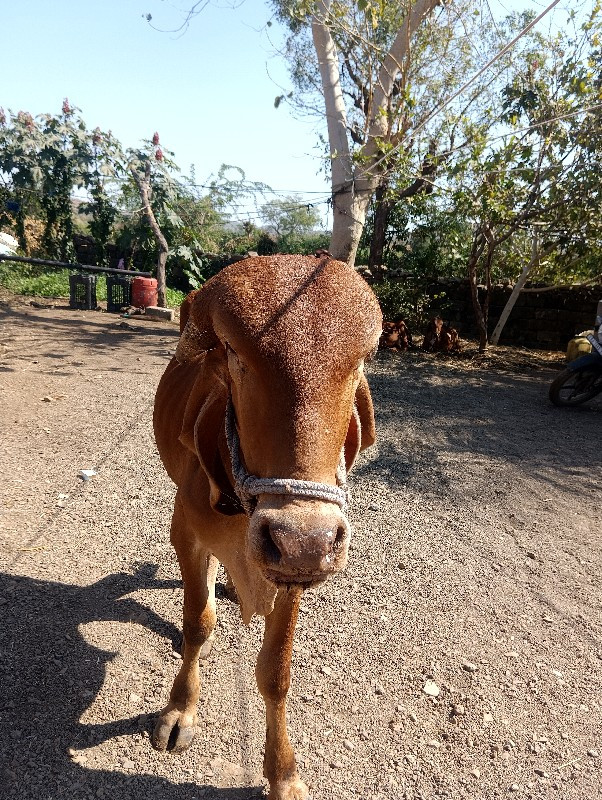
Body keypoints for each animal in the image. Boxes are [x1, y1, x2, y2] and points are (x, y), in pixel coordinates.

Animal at [154, 255, 380, 800]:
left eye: (362, 359)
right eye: (233, 352)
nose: (302, 538)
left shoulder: (297, 566)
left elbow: (275, 673)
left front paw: (284, 773)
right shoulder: (186, 532)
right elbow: (198, 624)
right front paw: (180, 709)